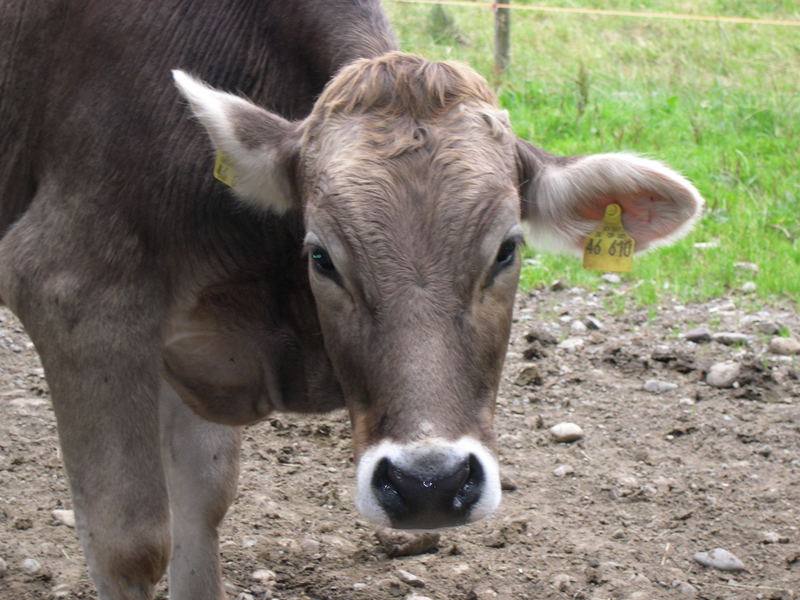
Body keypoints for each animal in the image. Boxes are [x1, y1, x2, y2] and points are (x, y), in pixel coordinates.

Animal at [0, 1, 700, 600]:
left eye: (506, 249)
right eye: (321, 257)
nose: (428, 484)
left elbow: (201, 504)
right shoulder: (75, 292)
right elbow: (130, 543)